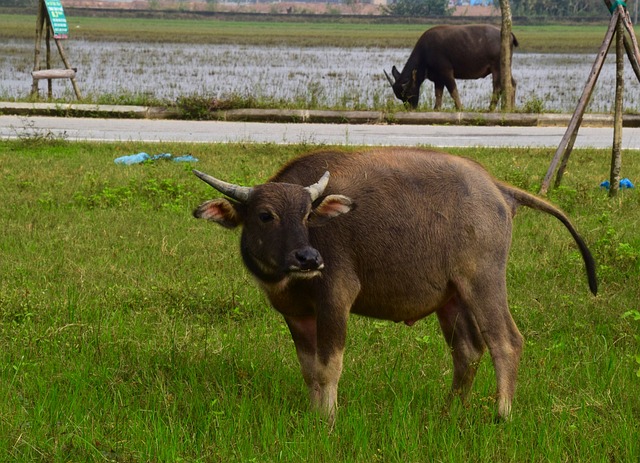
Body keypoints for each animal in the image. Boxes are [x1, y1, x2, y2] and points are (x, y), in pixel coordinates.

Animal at [192, 148, 596, 424]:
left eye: (307, 215)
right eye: (265, 215)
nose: (308, 257)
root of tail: (496, 187)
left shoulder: (336, 299)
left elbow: (329, 367)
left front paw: (328, 421)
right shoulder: (296, 315)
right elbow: (309, 370)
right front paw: (313, 415)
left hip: (484, 280)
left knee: (506, 343)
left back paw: (501, 415)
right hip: (453, 296)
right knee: (467, 350)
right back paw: (450, 411)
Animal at [384, 24, 520, 110]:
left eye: (408, 93)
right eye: (400, 97)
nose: (410, 108)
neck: (426, 53)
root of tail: (508, 34)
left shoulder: (446, 72)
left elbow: (453, 91)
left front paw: (460, 108)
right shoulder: (438, 79)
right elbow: (438, 94)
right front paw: (436, 109)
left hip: (497, 67)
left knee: (498, 87)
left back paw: (490, 108)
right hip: (505, 67)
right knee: (512, 84)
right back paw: (511, 108)